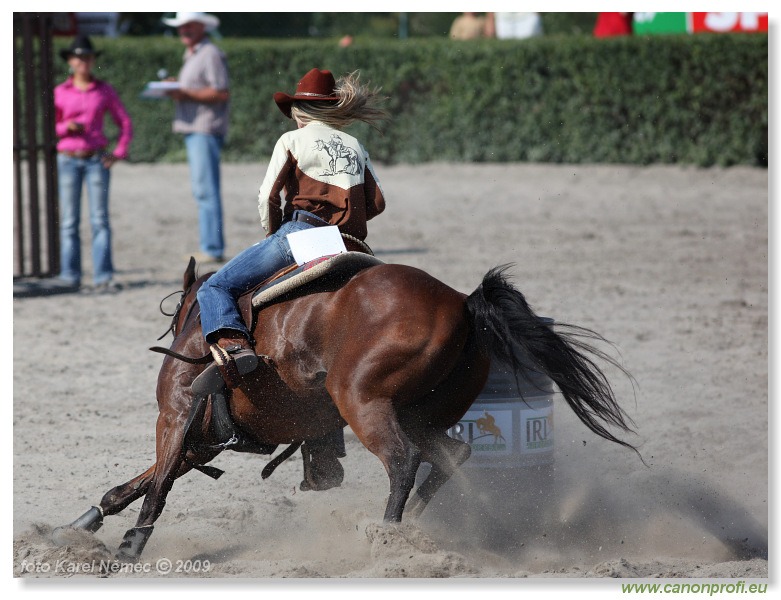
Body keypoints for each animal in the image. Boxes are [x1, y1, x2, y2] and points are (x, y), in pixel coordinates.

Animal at [56, 254, 640, 564]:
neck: (204, 327)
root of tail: (460, 302)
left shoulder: (177, 418)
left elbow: (157, 484)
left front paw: (131, 546)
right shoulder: (201, 440)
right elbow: (131, 486)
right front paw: (78, 527)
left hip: (365, 404)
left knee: (404, 461)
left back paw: (386, 535)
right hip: (422, 415)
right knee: (450, 455)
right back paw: (411, 527)